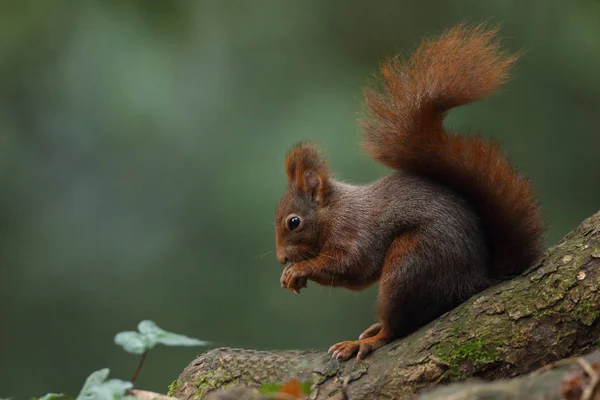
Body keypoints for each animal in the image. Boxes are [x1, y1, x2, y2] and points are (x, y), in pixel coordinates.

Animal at [274, 25, 548, 362]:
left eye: (294, 222)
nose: (281, 259)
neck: (334, 211)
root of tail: (474, 281)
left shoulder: (355, 230)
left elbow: (351, 264)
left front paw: (298, 270)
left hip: (410, 265)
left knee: (396, 327)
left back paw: (364, 342)